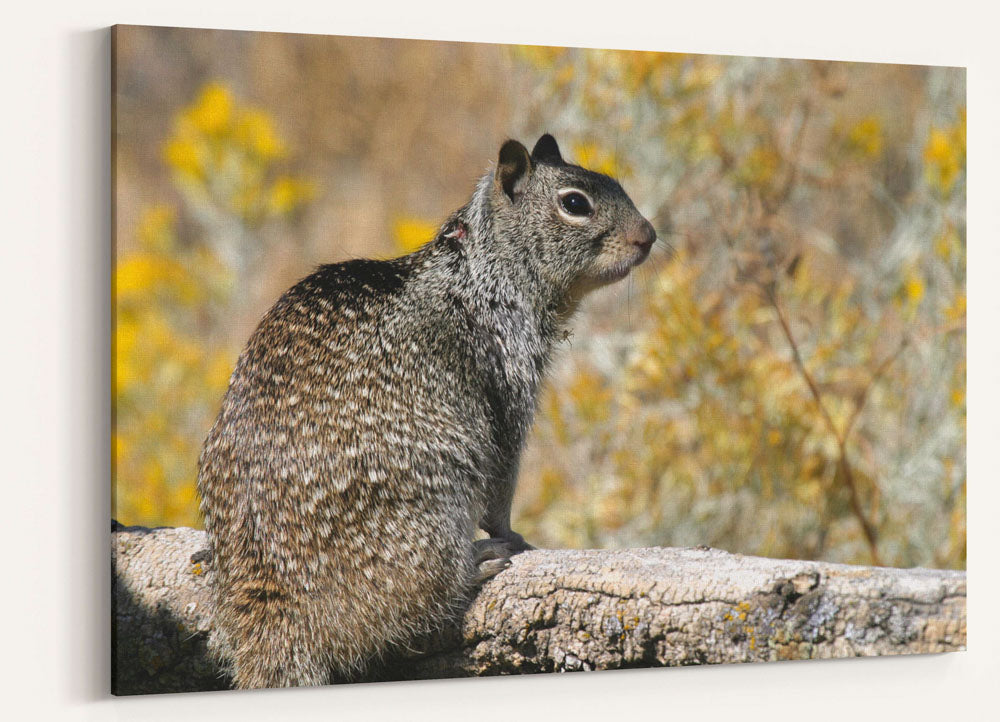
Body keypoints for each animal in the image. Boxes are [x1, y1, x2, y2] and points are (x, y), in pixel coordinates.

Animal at [195, 134, 656, 688]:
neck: (482, 269)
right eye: (575, 203)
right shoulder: (509, 385)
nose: (649, 236)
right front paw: (511, 535)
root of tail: (274, 611)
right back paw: (477, 564)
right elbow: (503, 483)